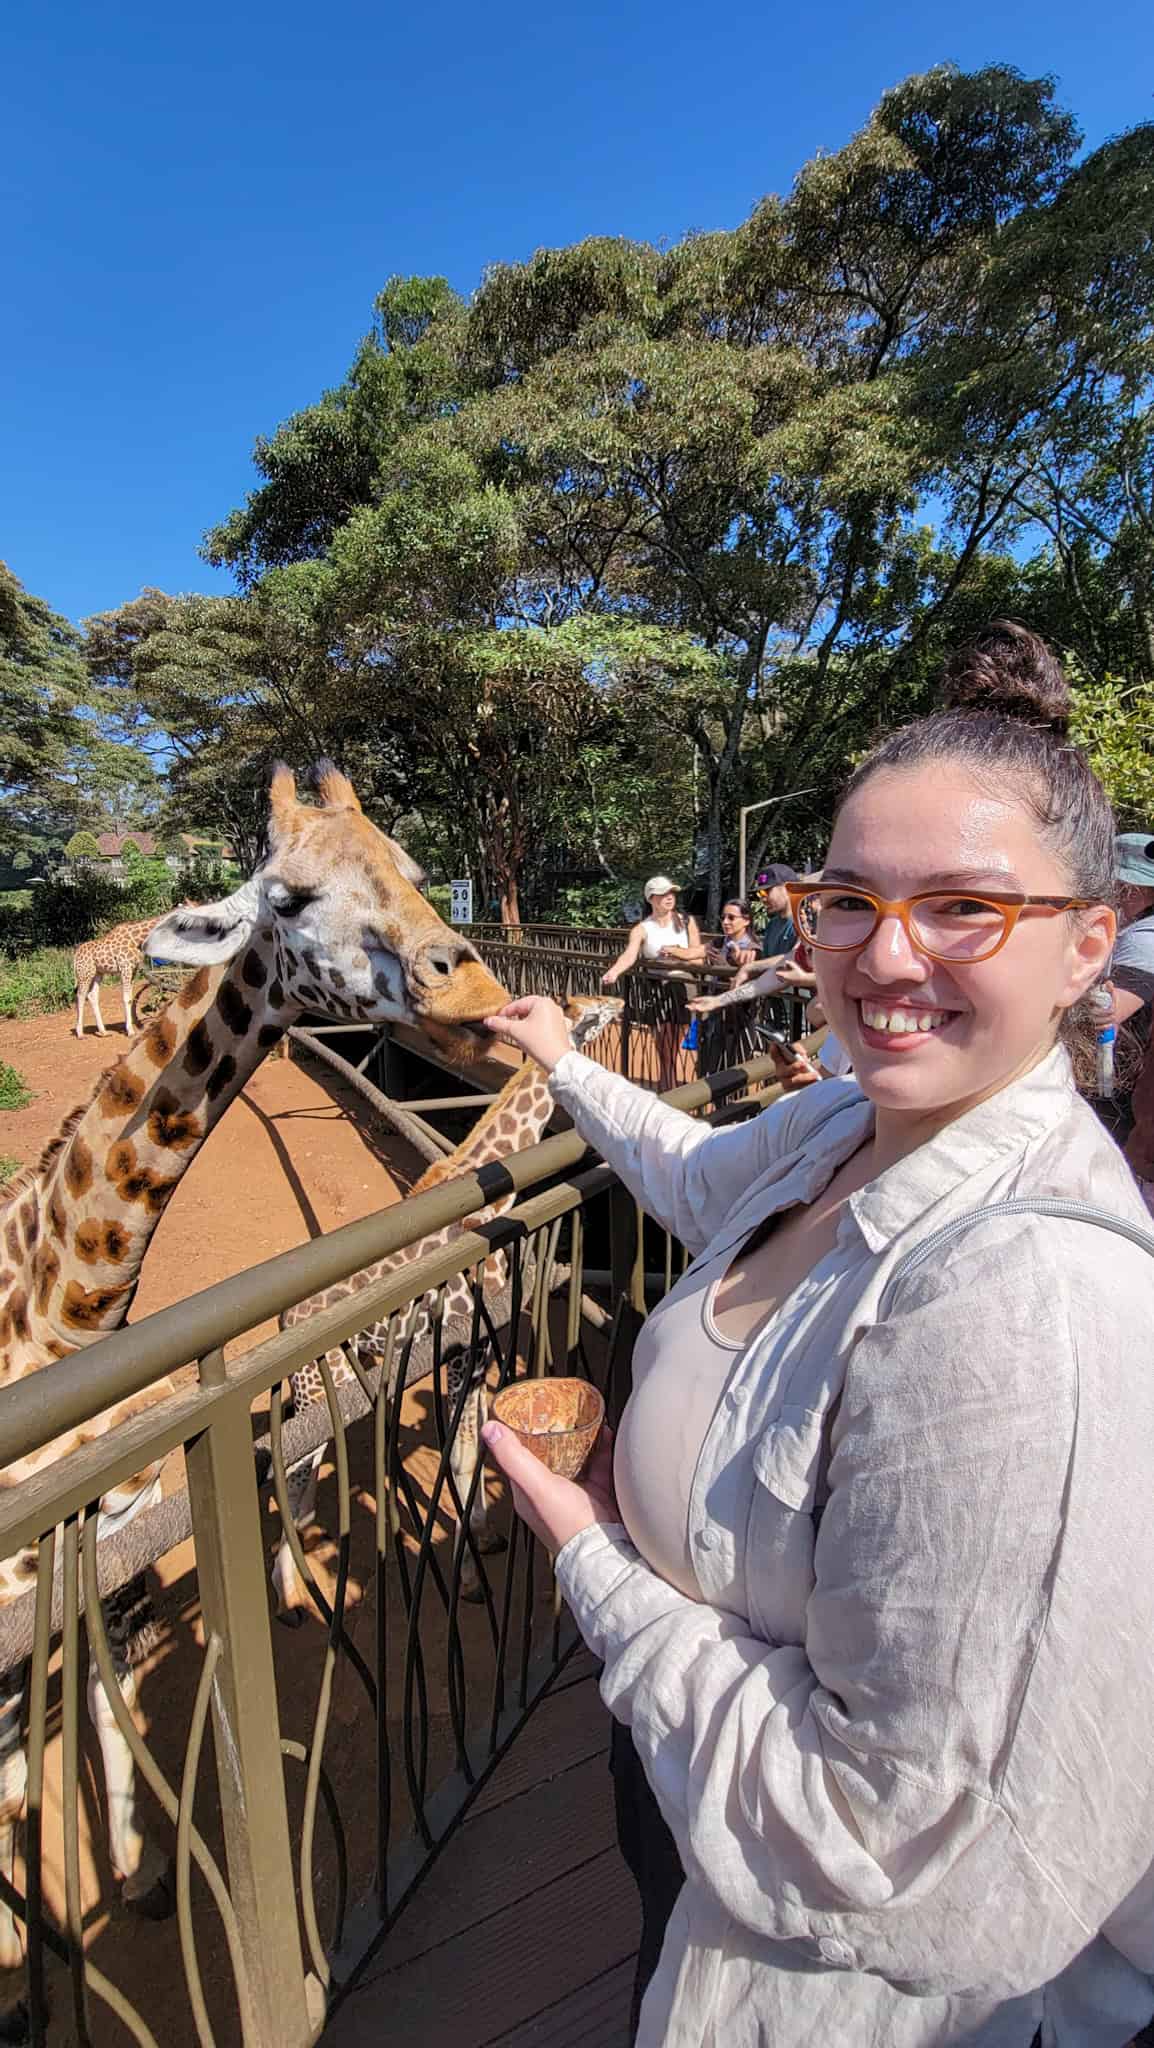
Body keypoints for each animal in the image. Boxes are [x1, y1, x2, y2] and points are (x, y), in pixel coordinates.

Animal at [274, 991, 623, 1613]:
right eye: (590, 1011)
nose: (621, 1000)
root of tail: (286, 1320)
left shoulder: (480, 1339)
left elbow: (478, 1437)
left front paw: (483, 1534)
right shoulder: (463, 1337)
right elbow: (458, 1452)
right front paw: (467, 1578)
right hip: (321, 1390)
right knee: (291, 1478)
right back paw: (290, 1599)